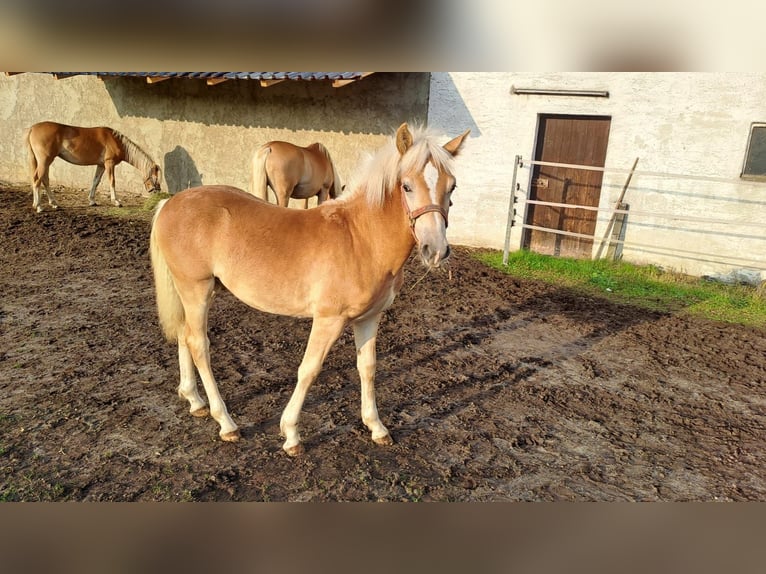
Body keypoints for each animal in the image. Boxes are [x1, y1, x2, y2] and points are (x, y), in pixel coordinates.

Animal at [24, 121, 162, 214]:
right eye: (155, 177)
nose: (156, 191)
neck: (116, 141)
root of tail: (33, 128)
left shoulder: (101, 165)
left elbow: (95, 181)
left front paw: (92, 201)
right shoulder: (109, 164)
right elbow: (112, 182)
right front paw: (116, 201)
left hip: (46, 161)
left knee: (45, 180)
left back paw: (54, 204)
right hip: (45, 160)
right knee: (37, 180)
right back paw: (38, 206)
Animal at [152, 124, 472, 456]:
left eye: (452, 187)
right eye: (406, 186)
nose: (435, 250)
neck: (361, 238)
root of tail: (169, 204)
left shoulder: (369, 318)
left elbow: (368, 367)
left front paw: (377, 428)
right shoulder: (328, 320)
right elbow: (309, 369)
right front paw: (291, 434)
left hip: (191, 292)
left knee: (184, 335)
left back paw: (195, 401)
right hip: (196, 290)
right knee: (198, 344)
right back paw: (226, 423)